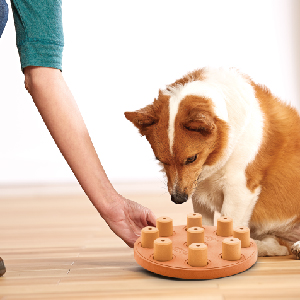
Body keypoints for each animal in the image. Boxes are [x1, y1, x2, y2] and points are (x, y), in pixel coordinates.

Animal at [125, 68, 300, 258]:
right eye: (160, 160)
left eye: (191, 158)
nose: (178, 199)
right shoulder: (197, 193)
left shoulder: (239, 190)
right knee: (279, 246)